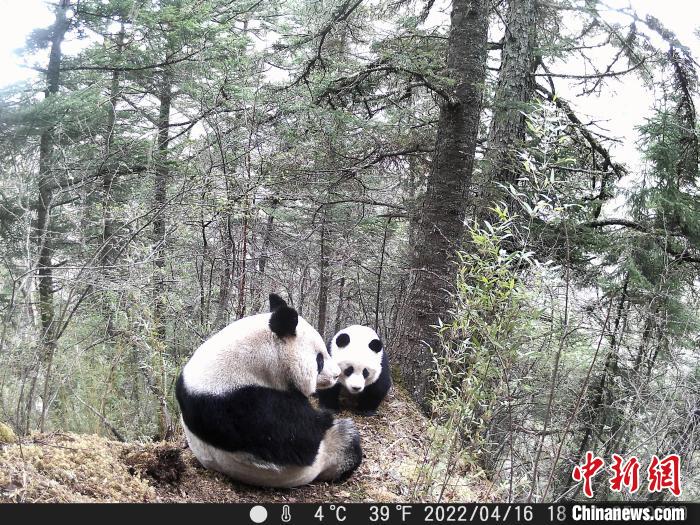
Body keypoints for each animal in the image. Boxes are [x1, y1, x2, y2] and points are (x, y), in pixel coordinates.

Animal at [175, 293, 363, 488]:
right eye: (319, 360)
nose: (336, 374)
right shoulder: (242, 404)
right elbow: (301, 440)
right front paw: (324, 417)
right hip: (325, 456)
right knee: (346, 439)